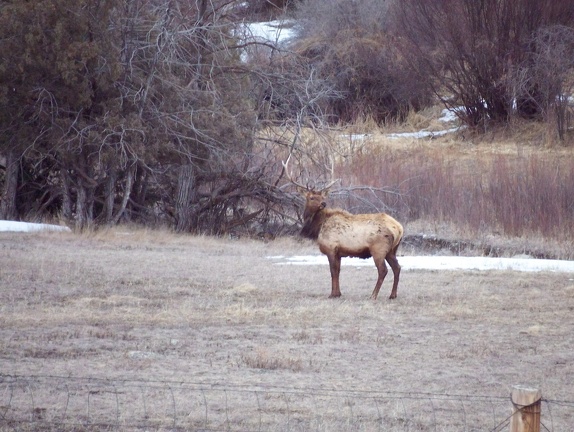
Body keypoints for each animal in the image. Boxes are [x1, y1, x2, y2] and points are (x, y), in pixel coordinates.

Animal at [286, 160, 404, 298]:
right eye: (312, 197)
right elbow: (338, 271)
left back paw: (373, 295)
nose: (323, 203)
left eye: (322, 197)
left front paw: (332, 294)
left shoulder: (331, 248)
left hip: (378, 249)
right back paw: (392, 295)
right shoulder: (339, 252)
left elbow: (333, 270)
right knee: (397, 268)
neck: (318, 227)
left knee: (383, 270)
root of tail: (399, 228)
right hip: (392, 250)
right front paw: (338, 293)